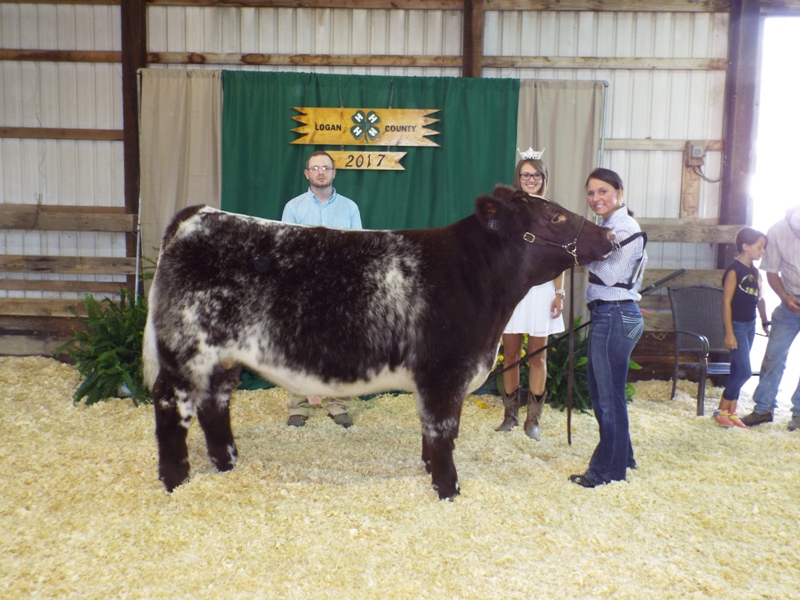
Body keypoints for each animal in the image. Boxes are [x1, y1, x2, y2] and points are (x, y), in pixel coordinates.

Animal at [143, 186, 616, 500]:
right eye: (555, 218)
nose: (611, 238)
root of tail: (199, 215)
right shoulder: (445, 372)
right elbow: (443, 429)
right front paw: (448, 488)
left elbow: (430, 431)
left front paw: (429, 470)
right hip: (186, 351)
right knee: (171, 404)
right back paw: (175, 479)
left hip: (222, 357)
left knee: (215, 402)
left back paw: (226, 462)